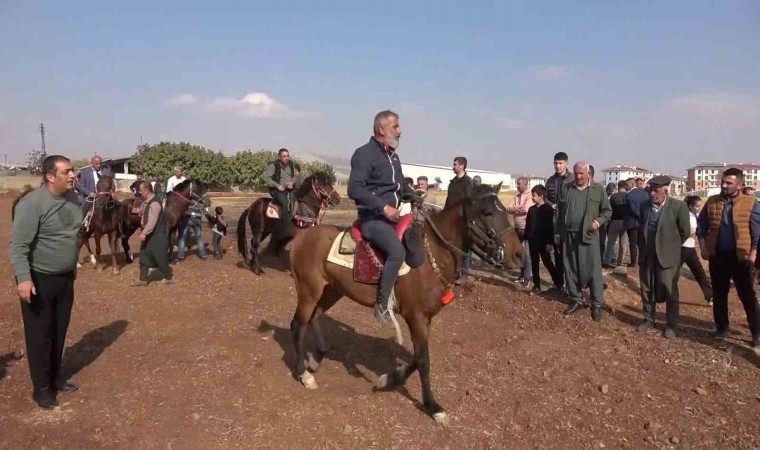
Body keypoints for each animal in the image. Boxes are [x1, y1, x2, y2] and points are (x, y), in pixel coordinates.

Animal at [284, 182, 524, 422]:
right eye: (487, 212)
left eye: (504, 209)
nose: (519, 254)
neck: (431, 255)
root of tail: (301, 237)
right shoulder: (415, 316)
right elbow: (424, 361)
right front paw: (433, 406)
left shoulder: (426, 319)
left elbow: (417, 357)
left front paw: (388, 380)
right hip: (309, 290)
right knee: (298, 325)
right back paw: (303, 374)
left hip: (332, 290)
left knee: (315, 316)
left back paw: (316, 357)